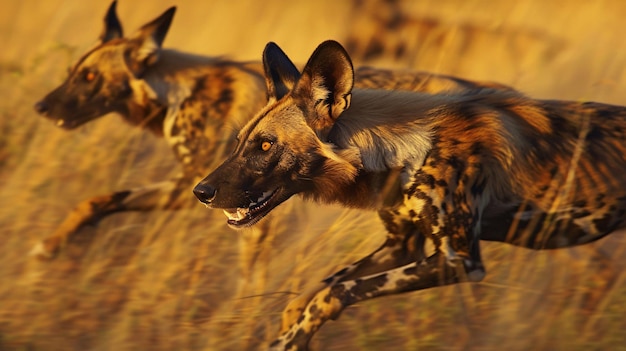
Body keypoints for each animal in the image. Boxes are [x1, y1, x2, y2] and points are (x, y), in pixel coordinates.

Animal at [31, 0, 510, 262]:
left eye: (90, 77)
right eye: (75, 72)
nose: (40, 106)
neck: (177, 91)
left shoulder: (224, 197)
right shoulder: (192, 186)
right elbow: (98, 201)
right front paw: (50, 246)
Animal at [194, 40, 624, 350]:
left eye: (266, 146)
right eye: (239, 142)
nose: (201, 191)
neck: (407, 150)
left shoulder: (459, 261)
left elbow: (332, 293)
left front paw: (290, 340)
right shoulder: (402, 247)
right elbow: (309, 294)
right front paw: (290, 330)